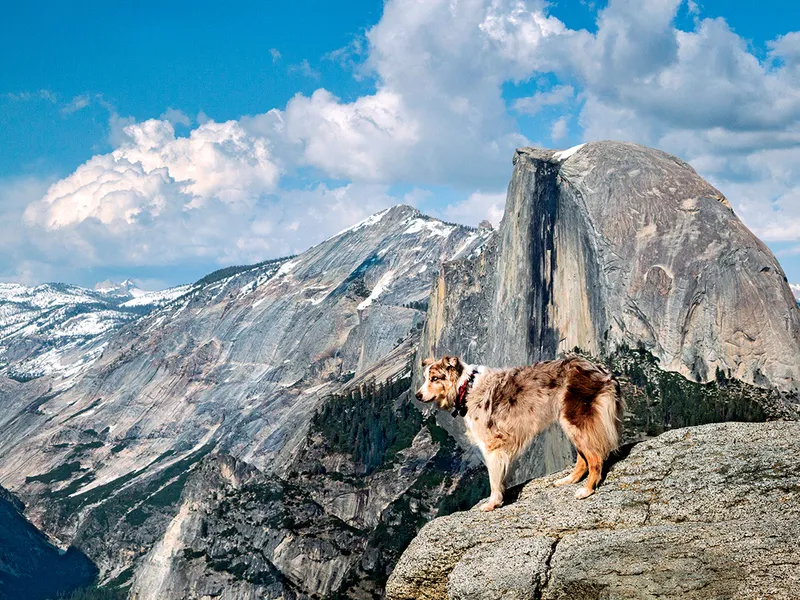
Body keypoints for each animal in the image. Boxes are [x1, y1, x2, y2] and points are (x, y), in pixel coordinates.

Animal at [416, 356, 628, 510]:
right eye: (425, 378)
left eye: (435, 378)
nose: (417, 395)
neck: (466, 386)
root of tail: (603, 371)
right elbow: (501, 476)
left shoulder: (492, 445)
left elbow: (493, 479)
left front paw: (492, 503)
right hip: (569, 423)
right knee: (583, 458)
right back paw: (568, 480)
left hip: (574, 421)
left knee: (595, 458)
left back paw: (587, 490)